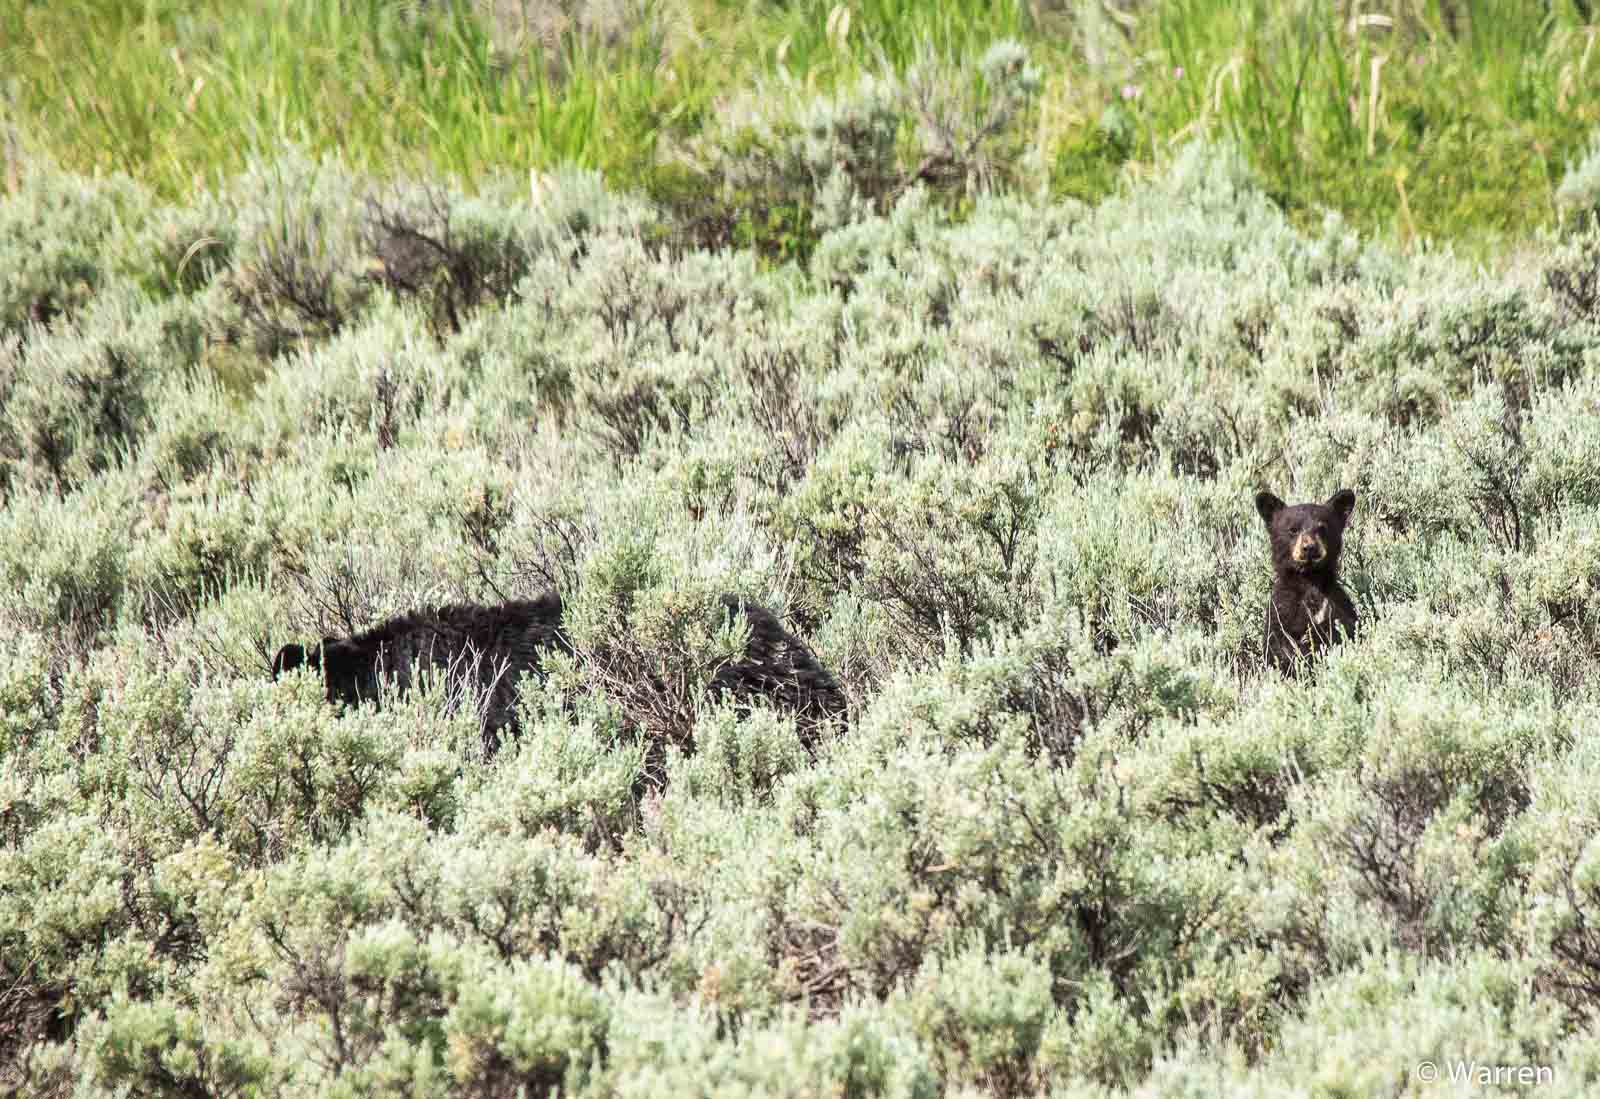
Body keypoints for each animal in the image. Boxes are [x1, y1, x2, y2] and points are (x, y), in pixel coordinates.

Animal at [1255, 488, 1359, 673]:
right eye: (1293, 529)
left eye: (1322, 528)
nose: (1309, 548)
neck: (1309, 580)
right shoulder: (1281, 612)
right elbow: (1278, 645)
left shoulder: (1337, 604)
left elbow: (1344, 628)